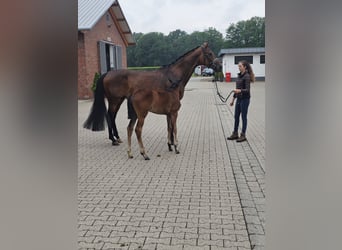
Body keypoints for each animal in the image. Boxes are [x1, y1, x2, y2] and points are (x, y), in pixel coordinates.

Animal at [84, 41, 215, 160]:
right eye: (209, 53)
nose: (217, 65)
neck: (173, 75)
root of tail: (107, 74)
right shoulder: (173, 111)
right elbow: (172, 127)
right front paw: (174, 145)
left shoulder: (168, 110)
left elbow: (169, 126)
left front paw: (170, 144)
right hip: (115, 101)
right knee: (112, 117)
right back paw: (115, 140)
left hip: (120, 101)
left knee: (116, 119)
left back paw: (118, 139)